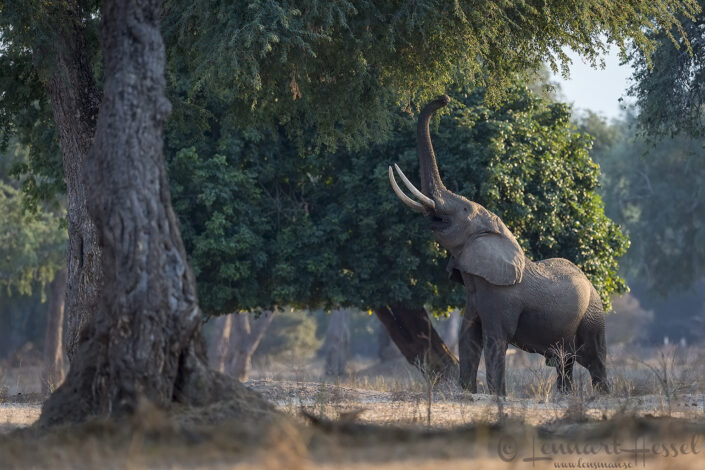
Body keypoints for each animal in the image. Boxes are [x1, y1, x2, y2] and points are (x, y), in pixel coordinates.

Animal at [388, 95, 608, 395]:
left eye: (464, 209)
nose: (444, 98)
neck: (499, 234)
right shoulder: (474, 295)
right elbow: (468, 338)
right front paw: (467, 393)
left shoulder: (501, 297)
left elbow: (494, 339)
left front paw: (497, 396)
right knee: (566, 362)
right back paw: (566, 396)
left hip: (593, 314)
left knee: (594, 359)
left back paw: (602, 395)